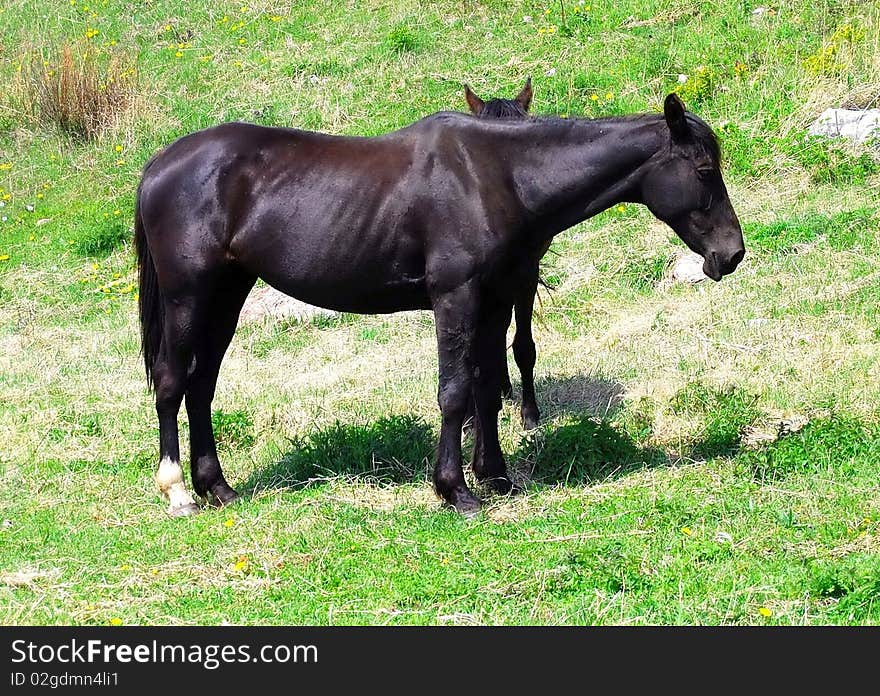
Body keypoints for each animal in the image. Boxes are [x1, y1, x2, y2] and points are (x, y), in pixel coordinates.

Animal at [136, 92, 744, 516]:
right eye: (704, 170)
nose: (732, 253)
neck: (499, 176)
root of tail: (160, 165)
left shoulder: (496, 301)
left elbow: (488, 387)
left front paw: (496, 476)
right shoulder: (457, 298)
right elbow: (455, 393)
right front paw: (455, 491)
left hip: (227, 295)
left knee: (201, 386)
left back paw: (217, 486)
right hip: (190, 295)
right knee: (171, 381)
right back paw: (178, 492)